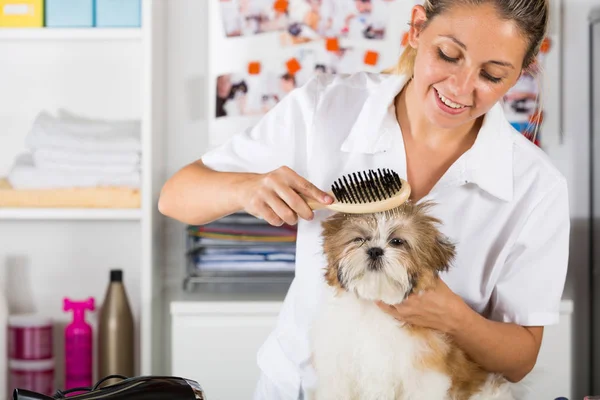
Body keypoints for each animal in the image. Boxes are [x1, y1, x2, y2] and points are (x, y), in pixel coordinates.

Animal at [308, 203, 512, 400]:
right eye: (359, 239)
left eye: (397, 242)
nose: (375, 250)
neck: (374, 306)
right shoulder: (337, 368)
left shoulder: (425, 373)